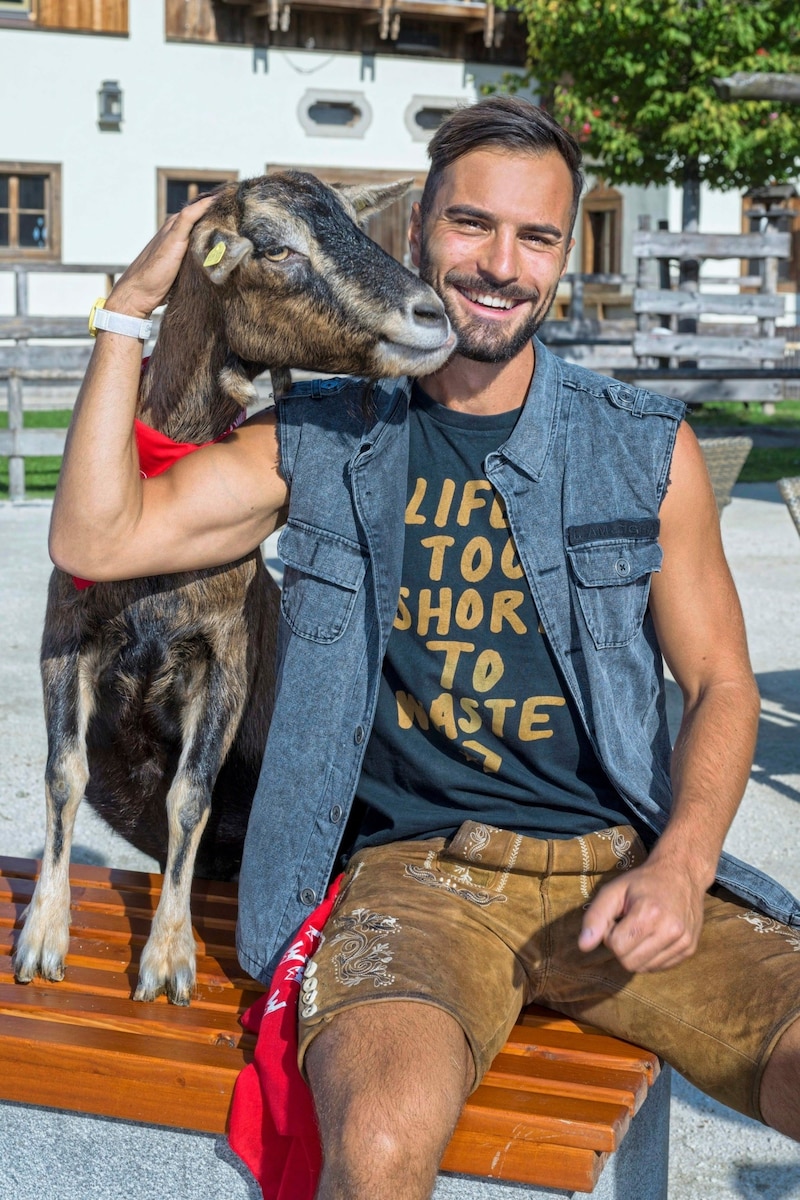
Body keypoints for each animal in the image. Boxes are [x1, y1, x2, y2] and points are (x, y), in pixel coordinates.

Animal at [12, 174, 453, 1003]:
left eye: (354, 226)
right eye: (277, 248)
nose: (433, 315)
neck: (151, 503)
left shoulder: (224, 656)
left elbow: (189, 795)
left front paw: (168, 959)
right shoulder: (64, 637)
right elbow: (63, 775)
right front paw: (41, 939)